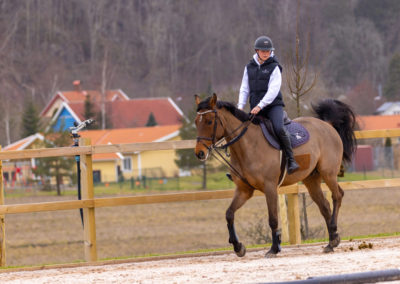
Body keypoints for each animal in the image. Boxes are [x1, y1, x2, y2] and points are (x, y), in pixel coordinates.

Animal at [194, 93, 356, 258]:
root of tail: (327, 125)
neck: (249, 145)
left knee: (337, 196)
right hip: (311, 180)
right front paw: (238, 247)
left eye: (209, 121)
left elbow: (272, 218)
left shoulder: (270, 187)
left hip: (328, 173)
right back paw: (332, 241)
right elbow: (229, 214)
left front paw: (274, 248)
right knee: (324, 206)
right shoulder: (244, 190)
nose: (199, 153)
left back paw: (333, 234)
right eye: (196, 122)